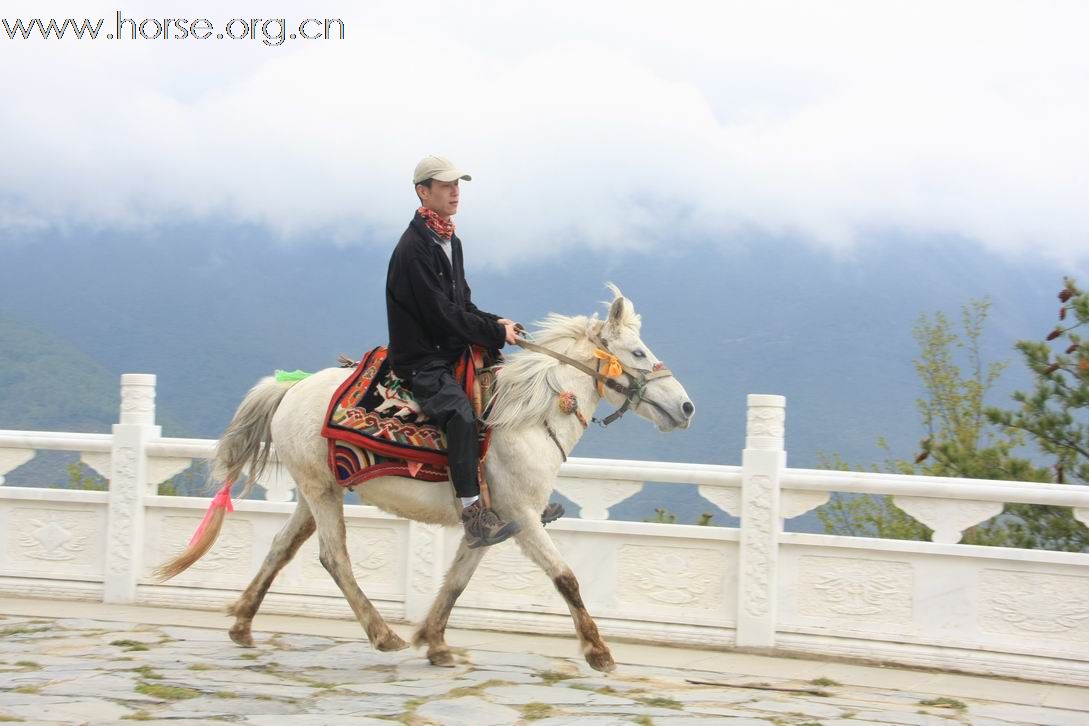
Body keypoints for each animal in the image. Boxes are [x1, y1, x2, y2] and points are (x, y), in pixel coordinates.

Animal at [156, 285, 692, 674]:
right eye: (638, 352)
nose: (686, 407)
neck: (528, 417)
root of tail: (291, 388)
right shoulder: (522, 516)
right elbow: (566, 578)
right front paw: (599, 653)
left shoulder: (492, 522)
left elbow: (456, 581)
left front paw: (435, 642)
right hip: (323, 493)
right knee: (334, 558)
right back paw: (382, 635)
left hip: (314, 489)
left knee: (281, 548)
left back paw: (243, 624)